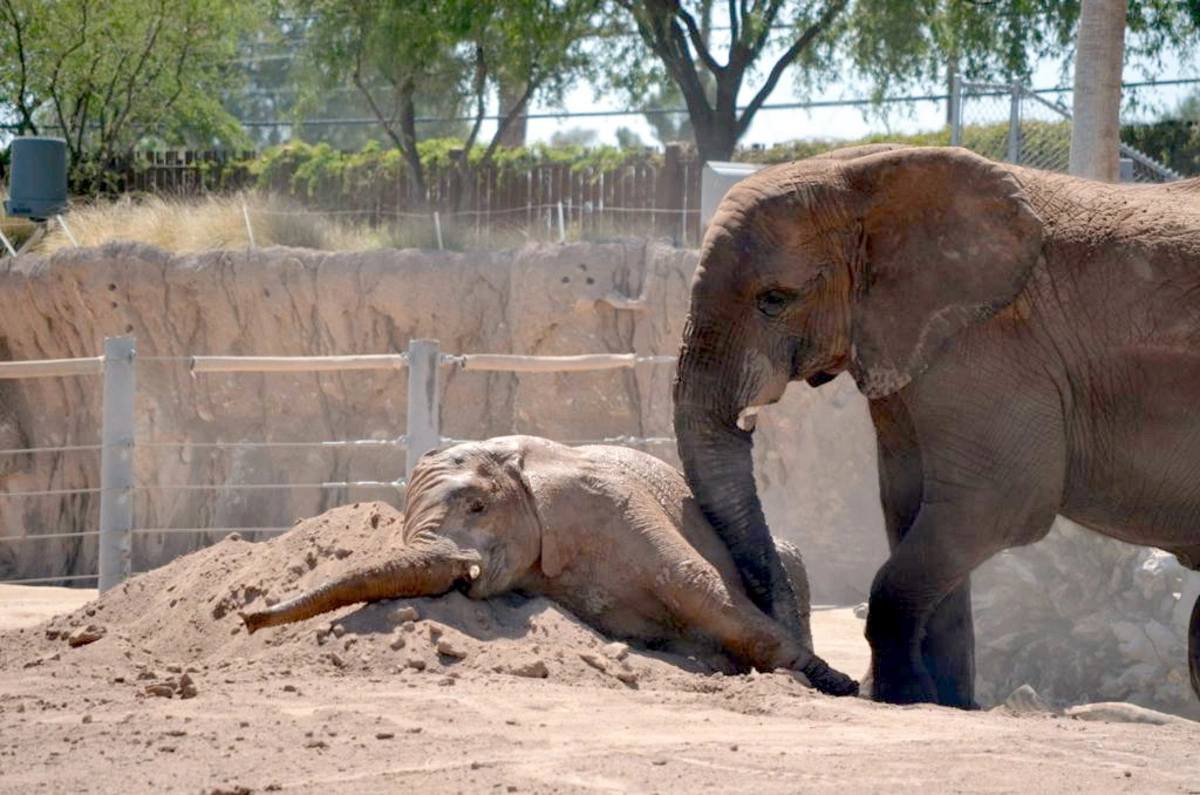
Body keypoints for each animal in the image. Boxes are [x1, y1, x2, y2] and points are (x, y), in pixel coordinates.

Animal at [238, 437, 859, 696]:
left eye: (478, 507)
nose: (247, 618)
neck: (511, 461)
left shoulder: (606, 503)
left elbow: (697, 582)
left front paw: (832, 681)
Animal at [676, 143, 1200, 710]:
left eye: (774, 299)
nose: (834, 681)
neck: (866, 174)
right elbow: (910, 505)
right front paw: (942, 700)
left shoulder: (992, 347)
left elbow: (996, 505)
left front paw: (902, 696)